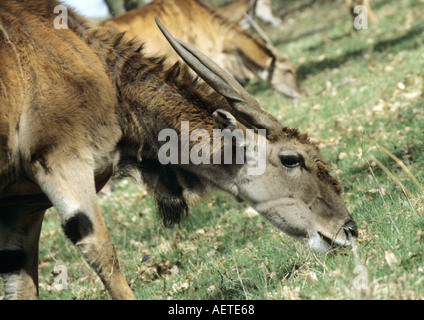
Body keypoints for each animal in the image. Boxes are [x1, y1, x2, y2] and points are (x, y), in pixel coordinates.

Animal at [0, 0, 358, 298]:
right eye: (291, 159)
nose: (349, 230)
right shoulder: (62, 162)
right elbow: (102, 251)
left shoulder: (22, 207)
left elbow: (21, 284)